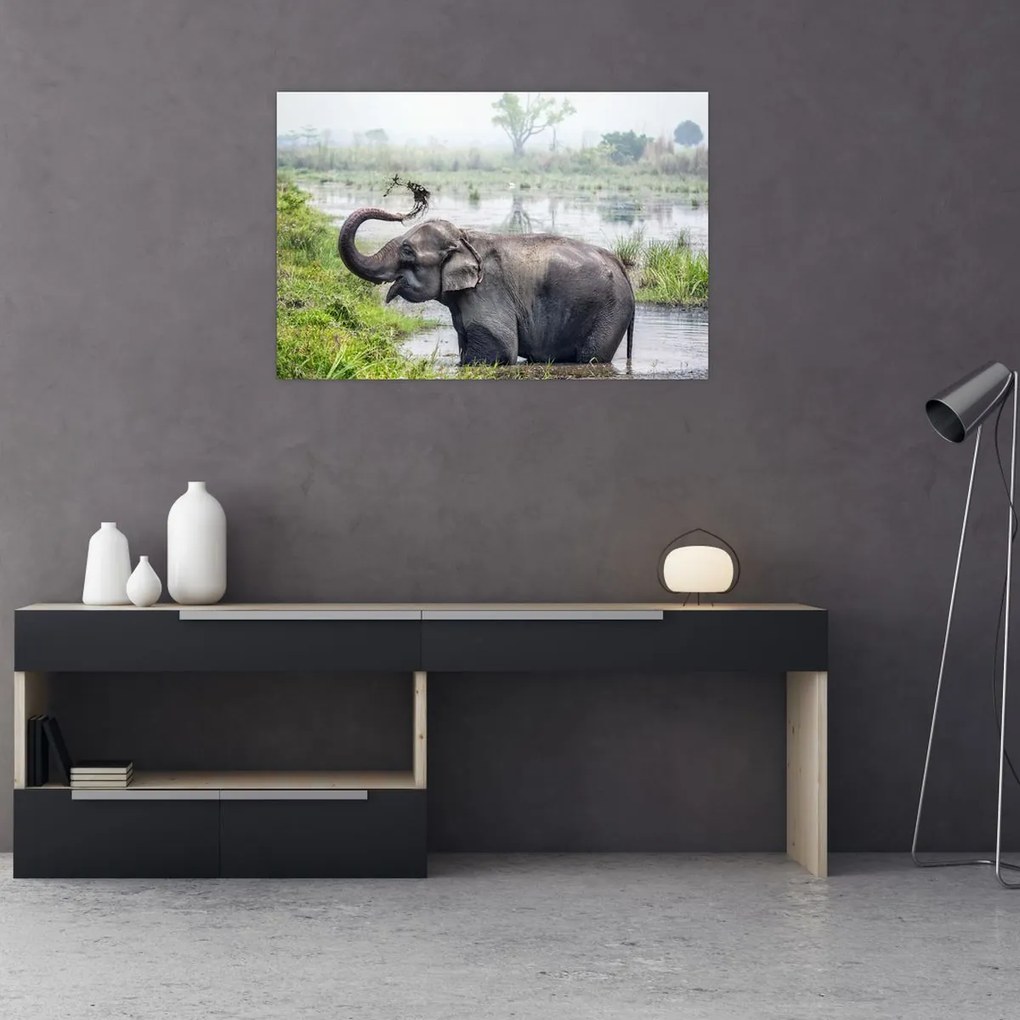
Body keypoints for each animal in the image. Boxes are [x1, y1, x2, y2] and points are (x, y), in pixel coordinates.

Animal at [338, 208, 635, 366]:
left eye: (408, 251)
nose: (402, 213)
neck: (465, 237)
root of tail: (620, 265)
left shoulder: (487, 290)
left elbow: (500, 348)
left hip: (610, 312)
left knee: (592, 357)